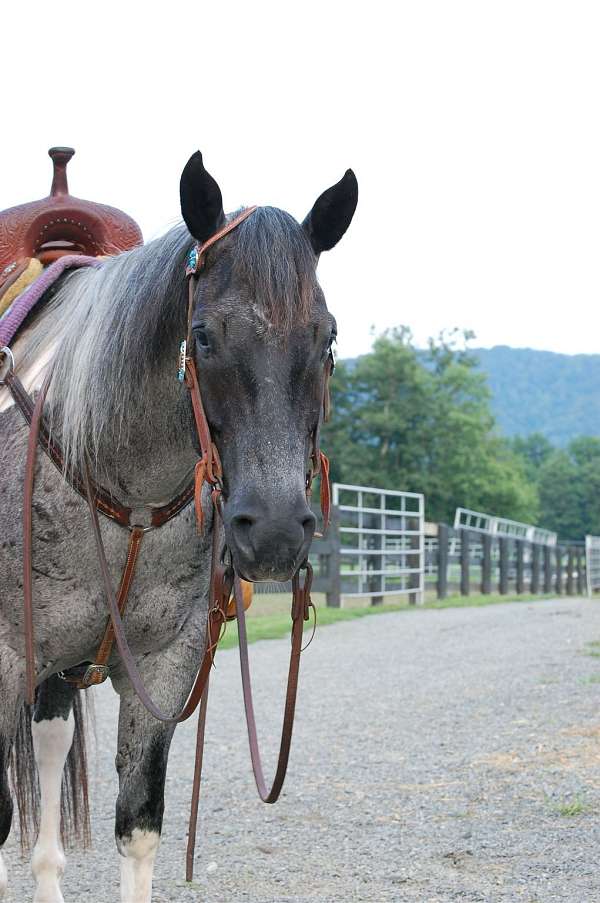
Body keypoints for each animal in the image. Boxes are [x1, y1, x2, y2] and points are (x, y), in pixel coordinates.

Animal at [0, 150, 358, 903]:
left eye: (327, 336)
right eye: (203, 336)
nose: (274, 529)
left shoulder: (163, 667)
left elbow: (138, 828)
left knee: (49, 744)